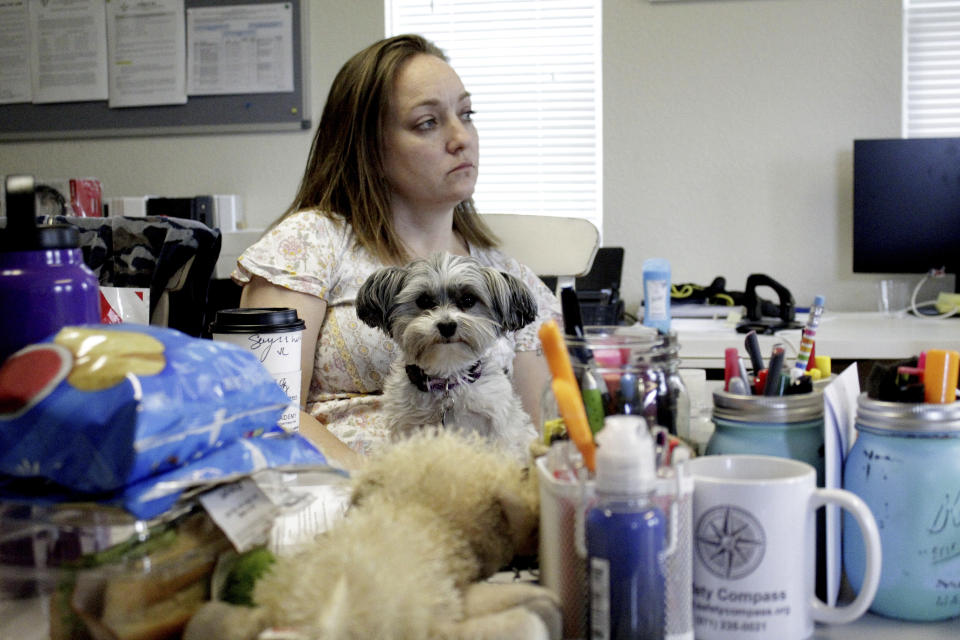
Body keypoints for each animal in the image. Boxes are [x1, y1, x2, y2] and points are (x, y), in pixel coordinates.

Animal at [358, 252, 544, 458]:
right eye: (423, 301)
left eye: (468, 300)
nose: (447, 325)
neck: (447, 380)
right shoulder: (407, 427)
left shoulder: (497, 422)